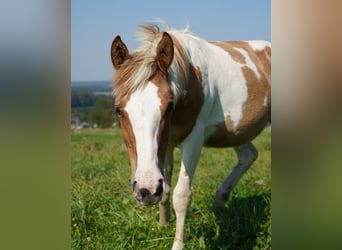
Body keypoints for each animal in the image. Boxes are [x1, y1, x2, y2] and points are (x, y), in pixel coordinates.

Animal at [111, 22, 272, 249]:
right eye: (118, 109)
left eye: (168, 106)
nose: (146, 191)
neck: (189, 78)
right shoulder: (167, 142)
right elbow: (166, 189)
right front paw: (162, 224)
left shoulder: (193, 140)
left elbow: (181, 195)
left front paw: (178, 244)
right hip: (235, 132)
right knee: (248, 155)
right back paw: (220, 200)